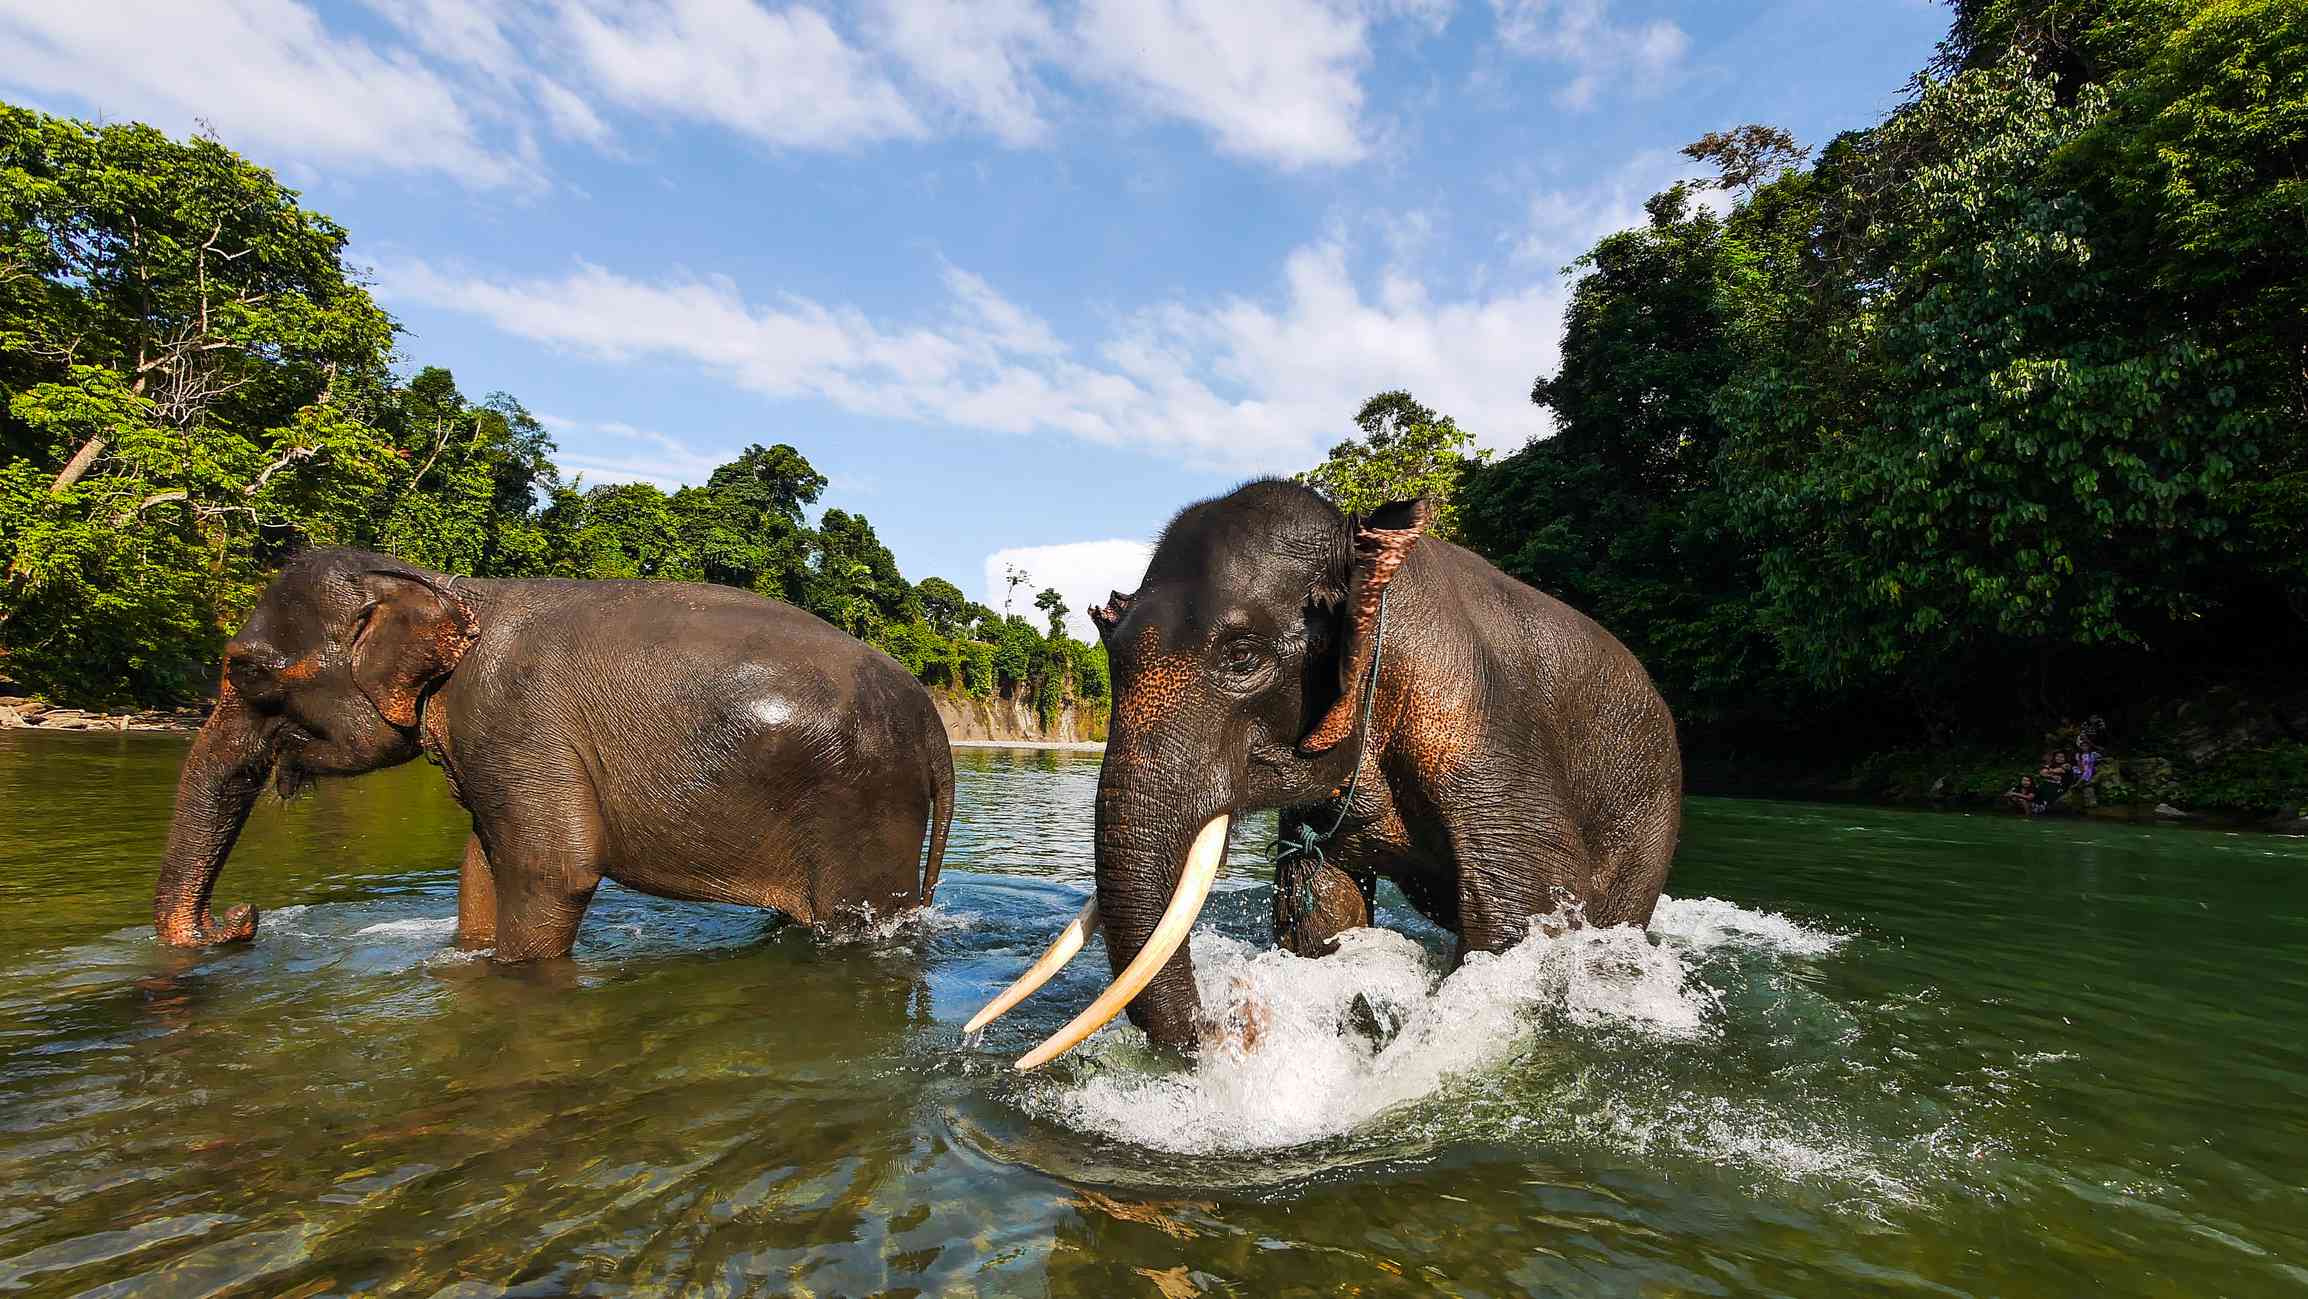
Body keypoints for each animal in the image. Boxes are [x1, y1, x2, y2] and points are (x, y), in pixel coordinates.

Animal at [973, 482, 1680, 1070]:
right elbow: (1322, 908)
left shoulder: (1484, 739)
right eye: (1109, 650)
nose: (1235, 1019)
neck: (1363, 547)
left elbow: (1518, 916)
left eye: (1242, 657)